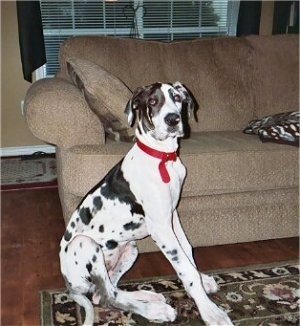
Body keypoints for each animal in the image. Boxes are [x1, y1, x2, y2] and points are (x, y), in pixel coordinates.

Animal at [58, 81, 232, 324]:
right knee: (107, 296)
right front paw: (210, 311)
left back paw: (150, 296)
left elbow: (188, 249)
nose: (173, 119)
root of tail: (70, 285)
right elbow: (185, 268)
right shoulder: (161, 228)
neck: (162, 158)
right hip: (85, 244)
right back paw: (156, 311)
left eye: (177, 97)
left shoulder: (172, 215)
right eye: (152, 101)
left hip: (130, 248)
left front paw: (203, 281)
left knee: (103, 292)